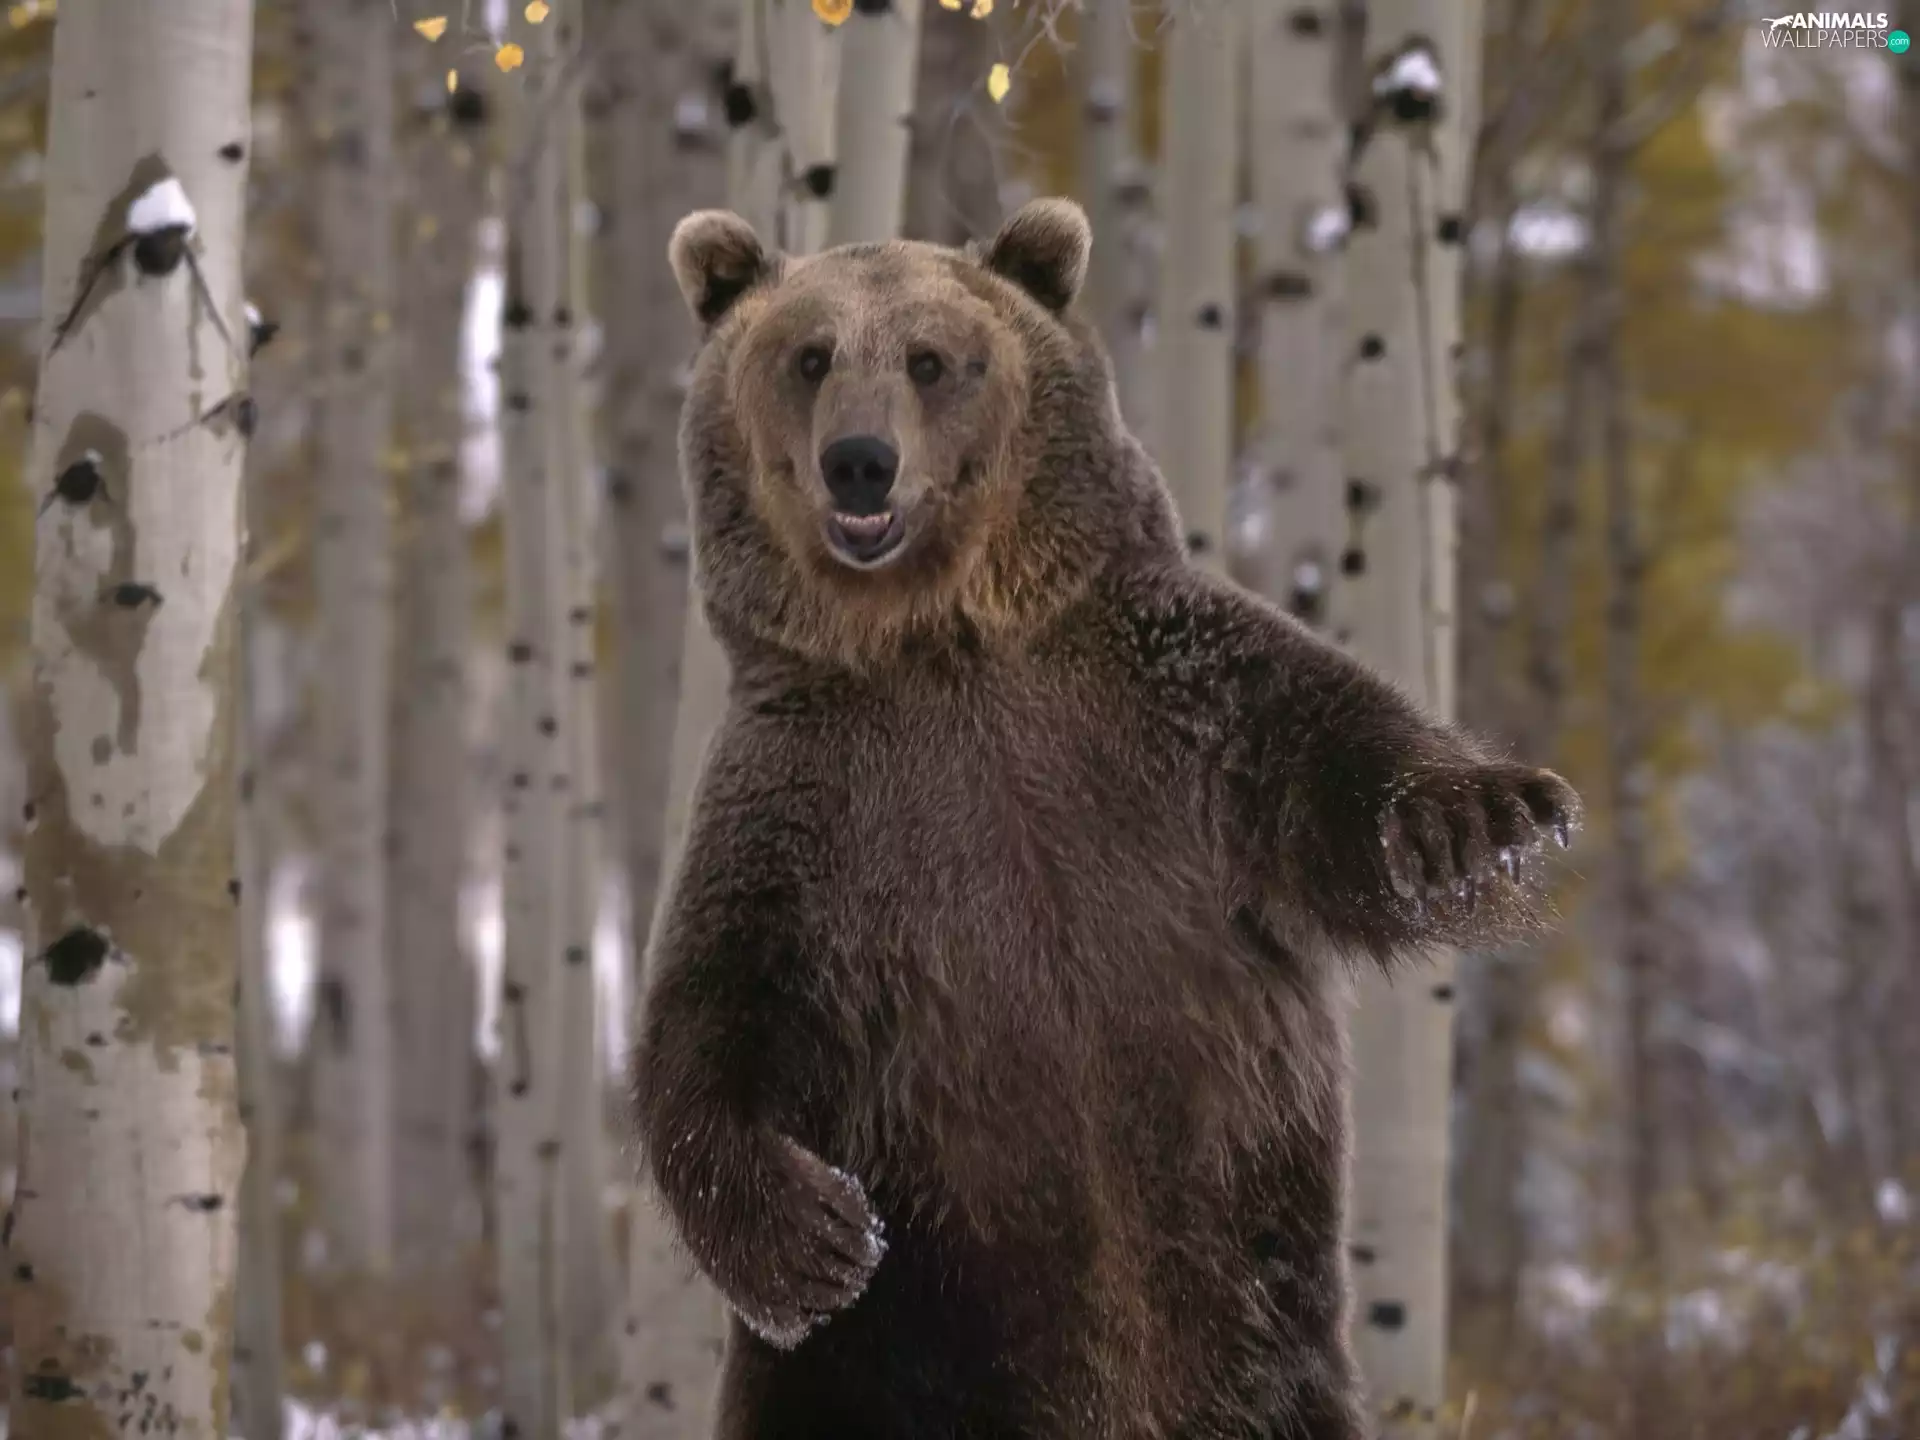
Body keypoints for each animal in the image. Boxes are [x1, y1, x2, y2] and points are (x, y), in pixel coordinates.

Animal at [633, 196, 1579, 1440]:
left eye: (931, 359)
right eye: (810, 356)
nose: (860, 463)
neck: (944, 640)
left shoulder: (1168, 716)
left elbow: (1335, 752)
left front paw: (1482, 821)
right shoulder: (806, 815)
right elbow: (710, 1019)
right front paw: (819, 1240)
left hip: (1257, 1339)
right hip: (878, 1374)